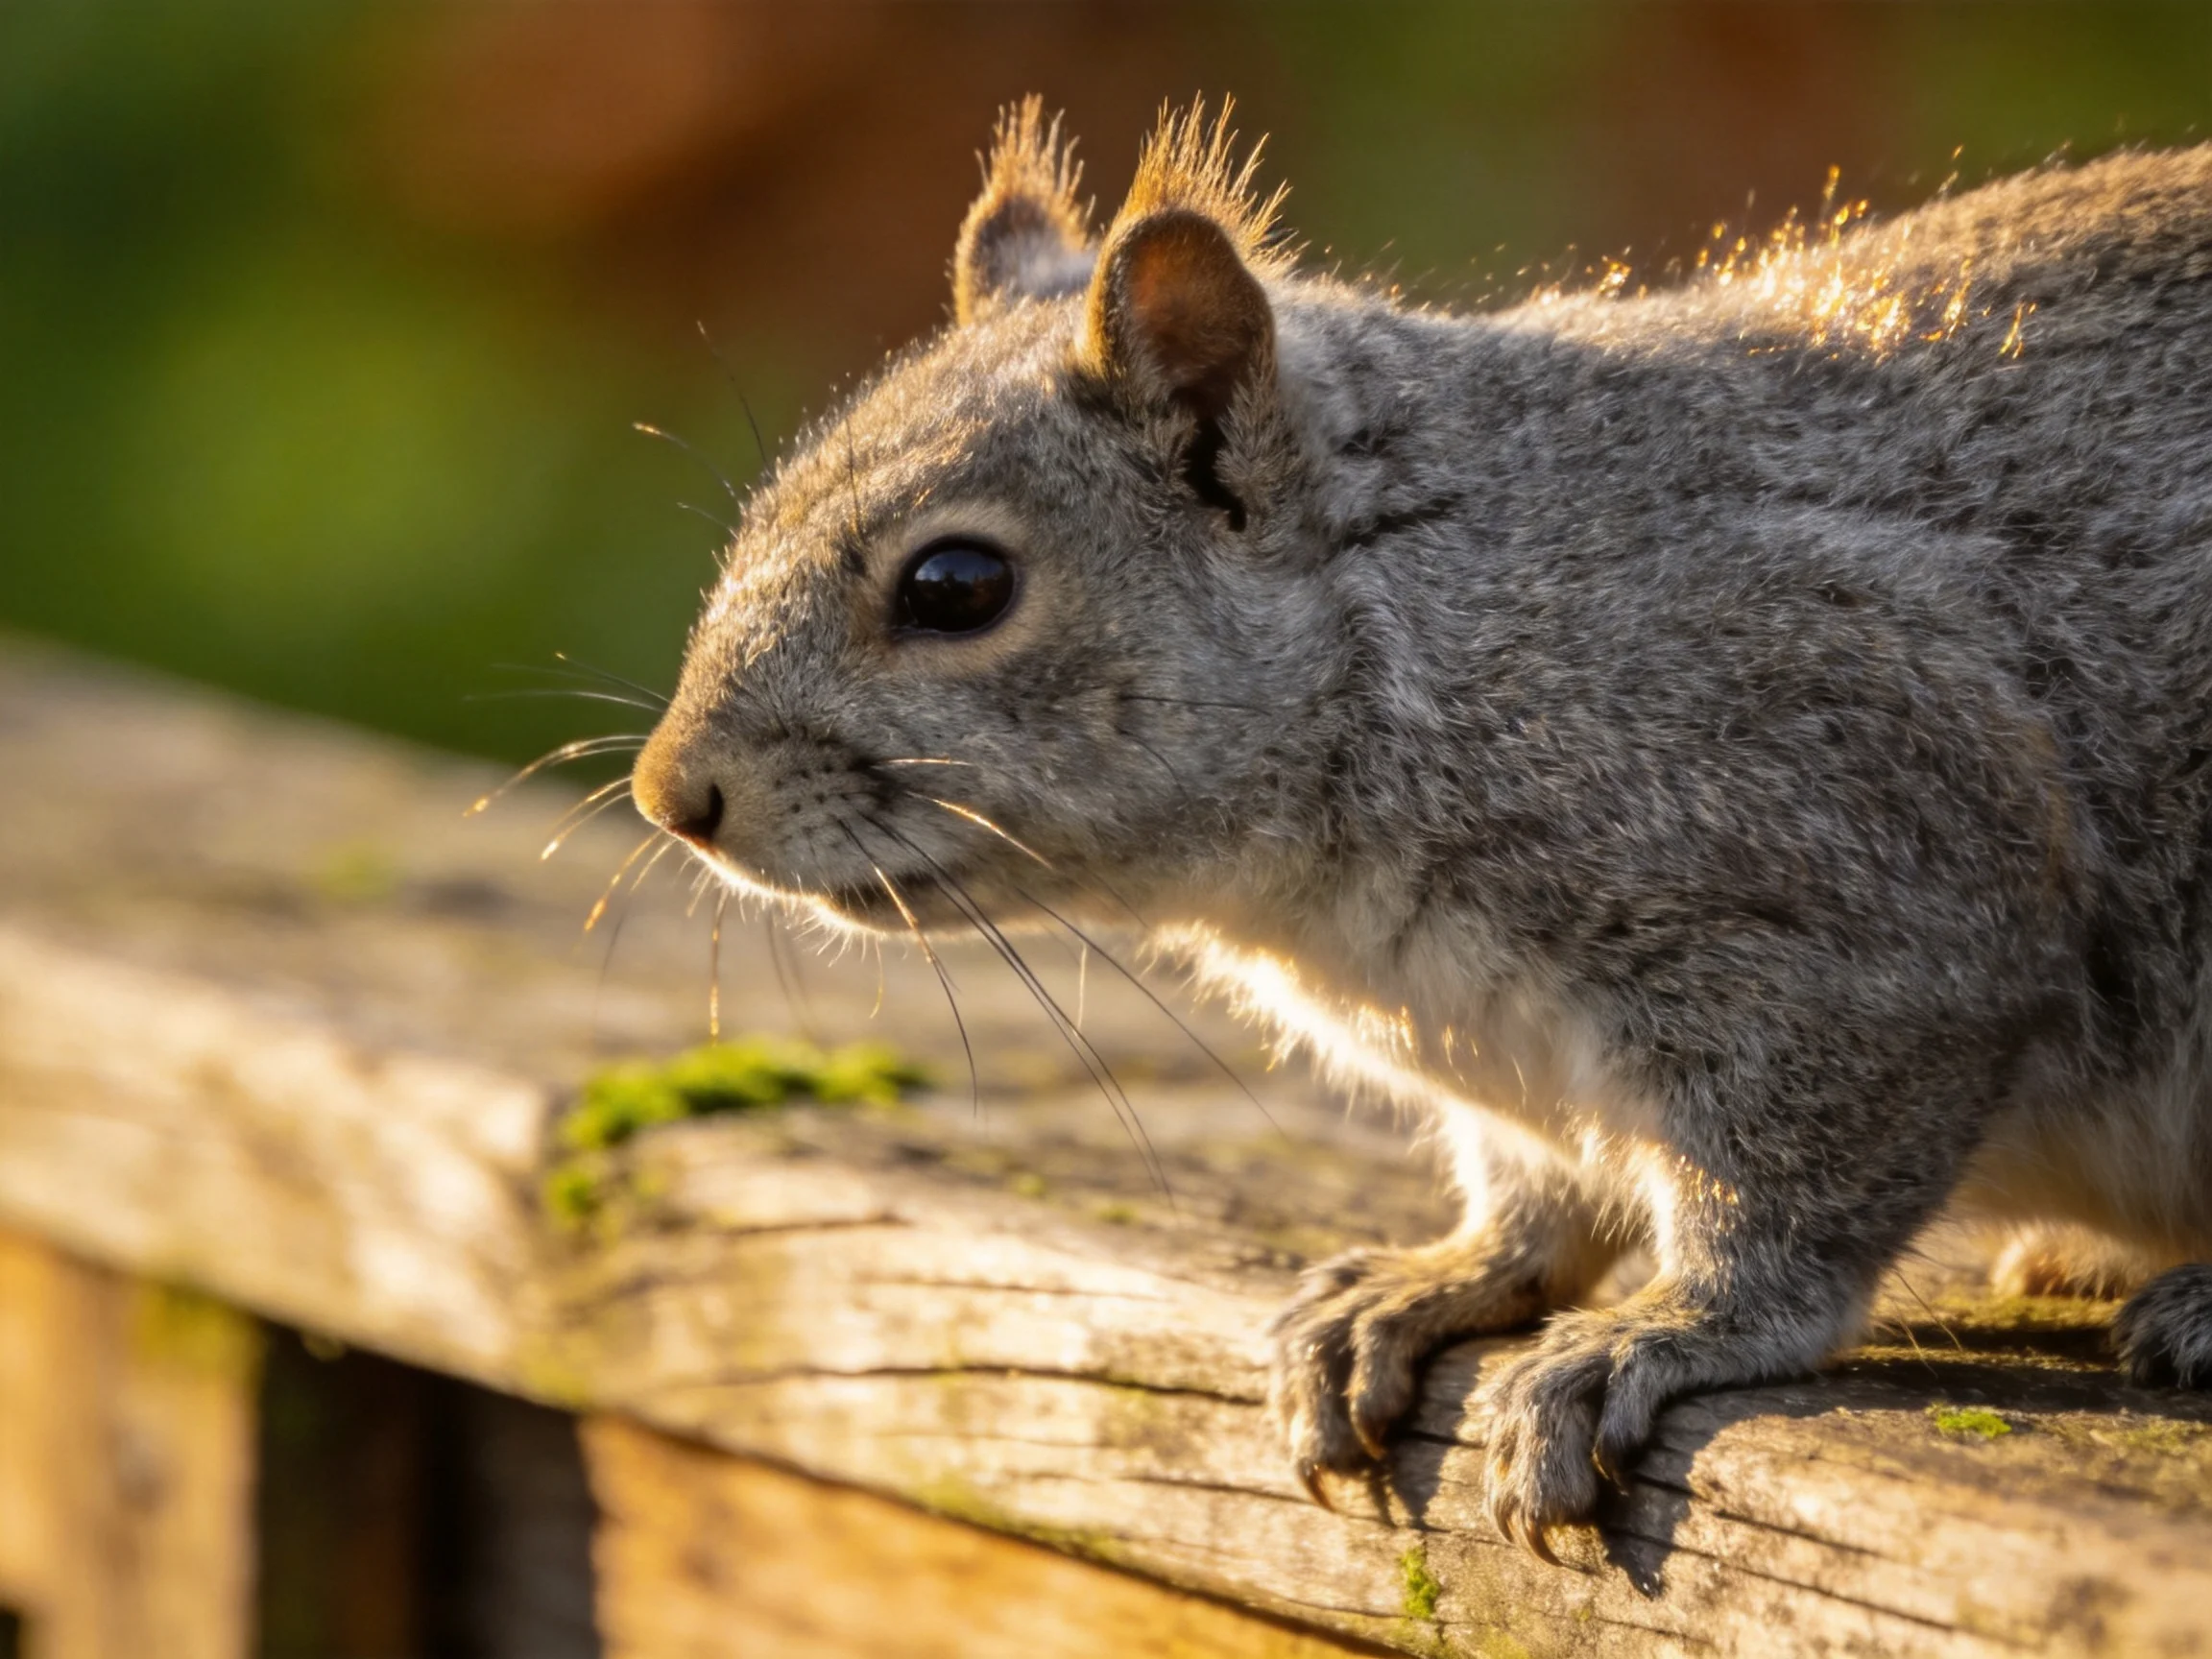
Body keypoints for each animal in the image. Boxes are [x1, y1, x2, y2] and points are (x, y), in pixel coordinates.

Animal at [630, 98, 2212, 1555]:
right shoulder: (1516, 1069)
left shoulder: (1873, 891)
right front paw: (1433, 1282)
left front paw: (1652, 1336)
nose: (672, 797)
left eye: (957, 585)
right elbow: (1534, 1201)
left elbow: (1787, 1205)